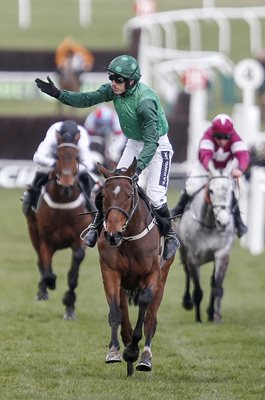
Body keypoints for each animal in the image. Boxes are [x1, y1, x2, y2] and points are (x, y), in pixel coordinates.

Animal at [24, 134, 93, 318]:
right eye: (57, 157)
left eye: (76, 157)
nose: (66, 184)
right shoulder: (46, 240)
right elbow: (47, 270)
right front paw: (48, 285)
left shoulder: (80, 238)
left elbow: (74, 271)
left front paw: (69, 305)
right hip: (33, 231)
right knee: (40, 261)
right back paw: (43, 291)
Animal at [96, 158, 174, 376]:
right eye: (103, 196)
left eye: (129, 195)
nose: (112, 234)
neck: (129, 237)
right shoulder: (110, 271)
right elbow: (116, 312)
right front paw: (114, 352)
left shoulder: (153, 274)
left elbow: (145, 308)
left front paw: (133, 351)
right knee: (124, 316)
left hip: (163, 278)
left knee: (151, 319)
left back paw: (144, 357)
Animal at [176, 161, 234, 324]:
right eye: (212, 191)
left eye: (230, 191)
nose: (223, 221)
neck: (209, 224)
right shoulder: (193, 257)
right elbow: (198, 291)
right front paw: (198, 319)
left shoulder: (221, 254)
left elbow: (217, 287)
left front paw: (215, 316)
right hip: (183, 252)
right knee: (186, 272)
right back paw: (187, 301)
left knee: (212, 281)